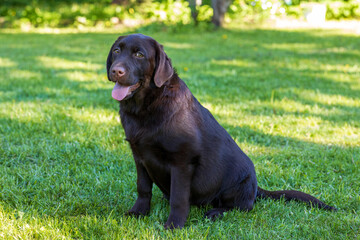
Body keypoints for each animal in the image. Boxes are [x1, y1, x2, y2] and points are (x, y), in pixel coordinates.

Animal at [105, 33, 336, 229]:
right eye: (116, 51)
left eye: (139, 54)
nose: (116, 71)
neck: (146, 107)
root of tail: (256, 188)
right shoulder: (139, 155)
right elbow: (143, 188)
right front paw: (138, 213)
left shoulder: (182, 161)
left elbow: (179, 198)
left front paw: (174, 225)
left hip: (235, 185)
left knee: (242, 208)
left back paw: (216, 212)